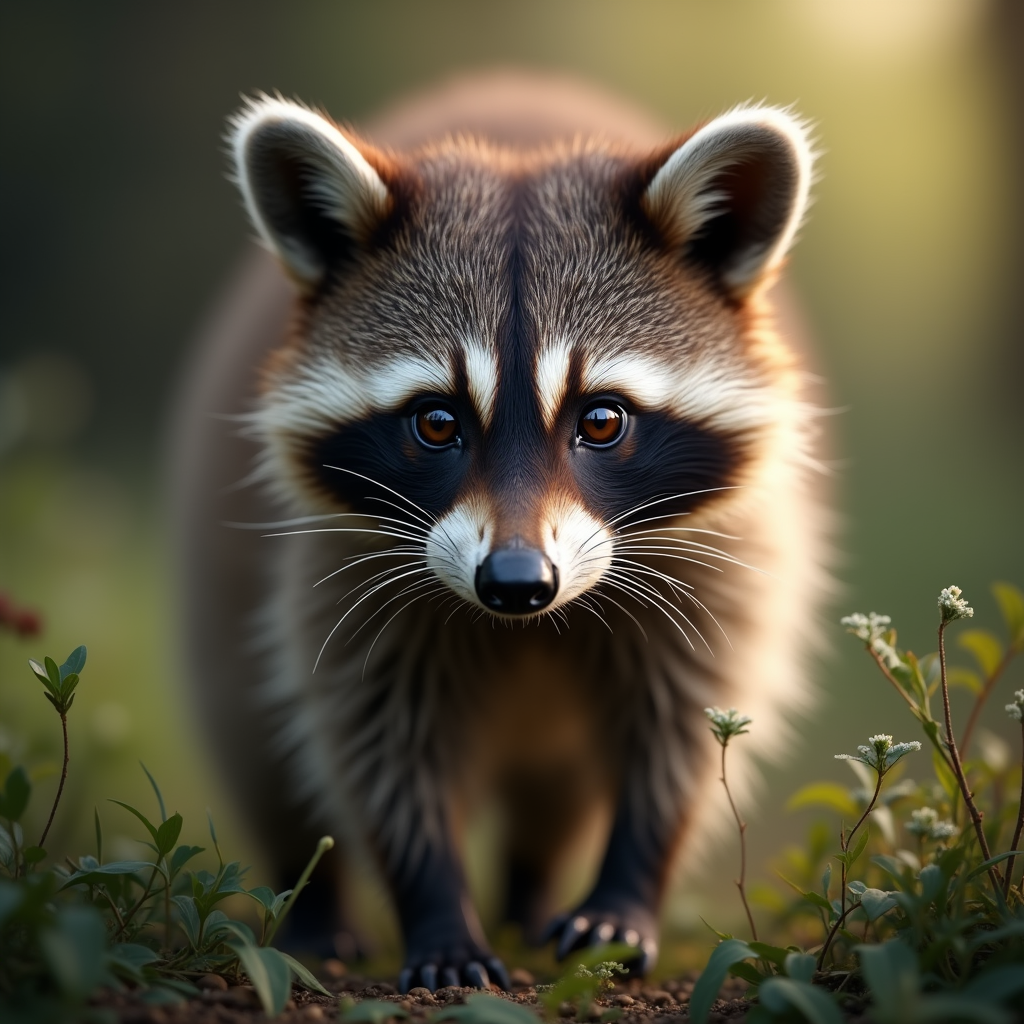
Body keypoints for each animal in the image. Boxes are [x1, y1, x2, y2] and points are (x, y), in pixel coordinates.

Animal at [172, 75, 825, 992]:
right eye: (437, 422)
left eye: (602, 420)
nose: (517, 583)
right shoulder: (337, 562)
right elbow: (374, 740)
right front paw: (434, 900)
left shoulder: (727, 553)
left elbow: (687, 727)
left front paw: (627, 886)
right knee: (257, 741)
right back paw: (311, 902)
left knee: (558, 795)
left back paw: (530, 891)